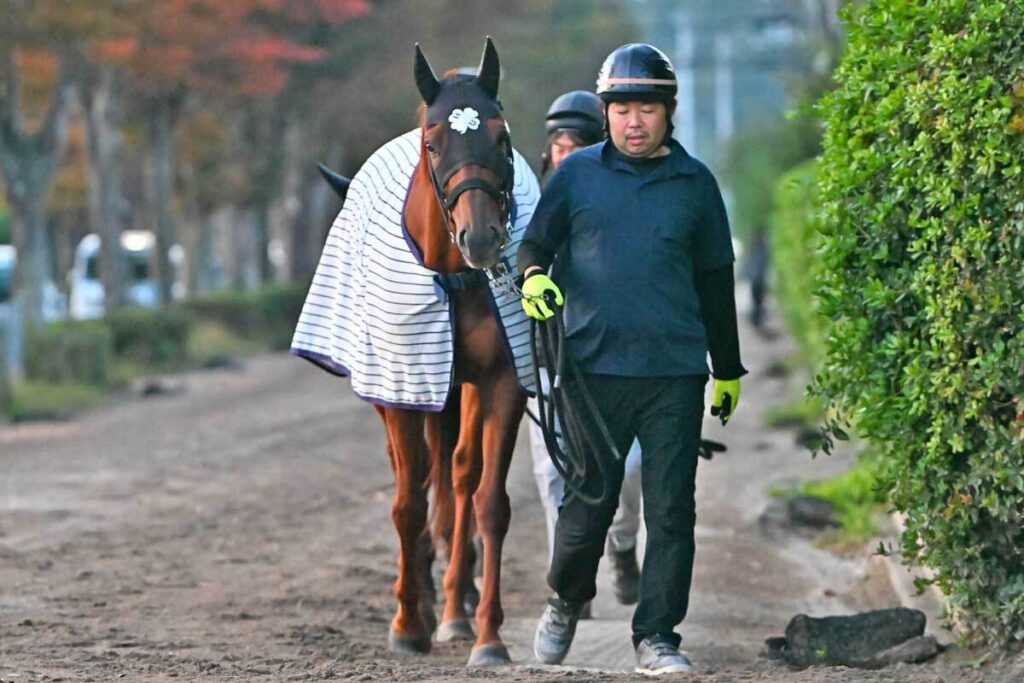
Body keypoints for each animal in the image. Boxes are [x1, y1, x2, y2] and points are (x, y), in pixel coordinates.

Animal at [292, 38, 537, 667]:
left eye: (501, 138)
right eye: (433, 143)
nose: (482, 238)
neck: (455, 276)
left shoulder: (496, 381)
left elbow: (486, 499)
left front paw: (486, 634)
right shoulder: (404, 383)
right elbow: (408, 501)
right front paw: (408, 621)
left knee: (457, 475)